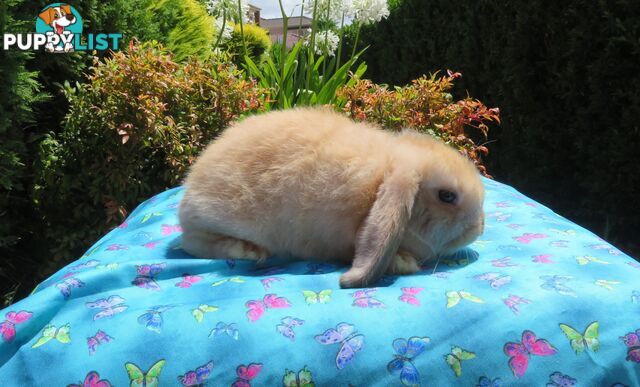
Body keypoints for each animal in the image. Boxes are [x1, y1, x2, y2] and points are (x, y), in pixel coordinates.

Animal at [178, 106, 482, 288]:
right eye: (447, 196)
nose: (479, 228)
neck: (378, 182)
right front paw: (403, 263)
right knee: (193, 244)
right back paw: (249, 251)